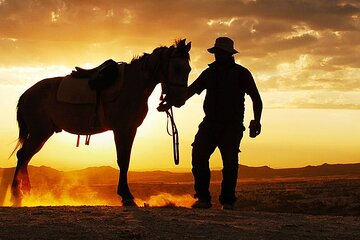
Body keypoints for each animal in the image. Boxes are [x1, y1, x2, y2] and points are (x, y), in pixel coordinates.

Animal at [9, 38, 191, 205]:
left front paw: (126, 194)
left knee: (26, 157)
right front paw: (126, 196)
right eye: (176, 67)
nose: (180, 99)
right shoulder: (121, 129)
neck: (133, 84)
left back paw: (26, 192)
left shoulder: (131, 129)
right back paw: (16, 194)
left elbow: (126, 160)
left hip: (41, 134)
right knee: (23, 155)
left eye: (188, 68)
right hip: (39, 133)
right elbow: (123, 160)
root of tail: (26, 94)